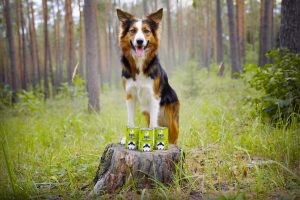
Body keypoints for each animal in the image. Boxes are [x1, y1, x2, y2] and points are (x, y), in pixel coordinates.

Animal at [116, 8, 179, 145]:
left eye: (146, 31)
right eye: (132, 30)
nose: (140, 41)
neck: (140, 64)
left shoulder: (153, 96)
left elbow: (152, 125)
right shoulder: (130, 95)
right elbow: (130, 120)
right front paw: (126, 138)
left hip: (172, 120)